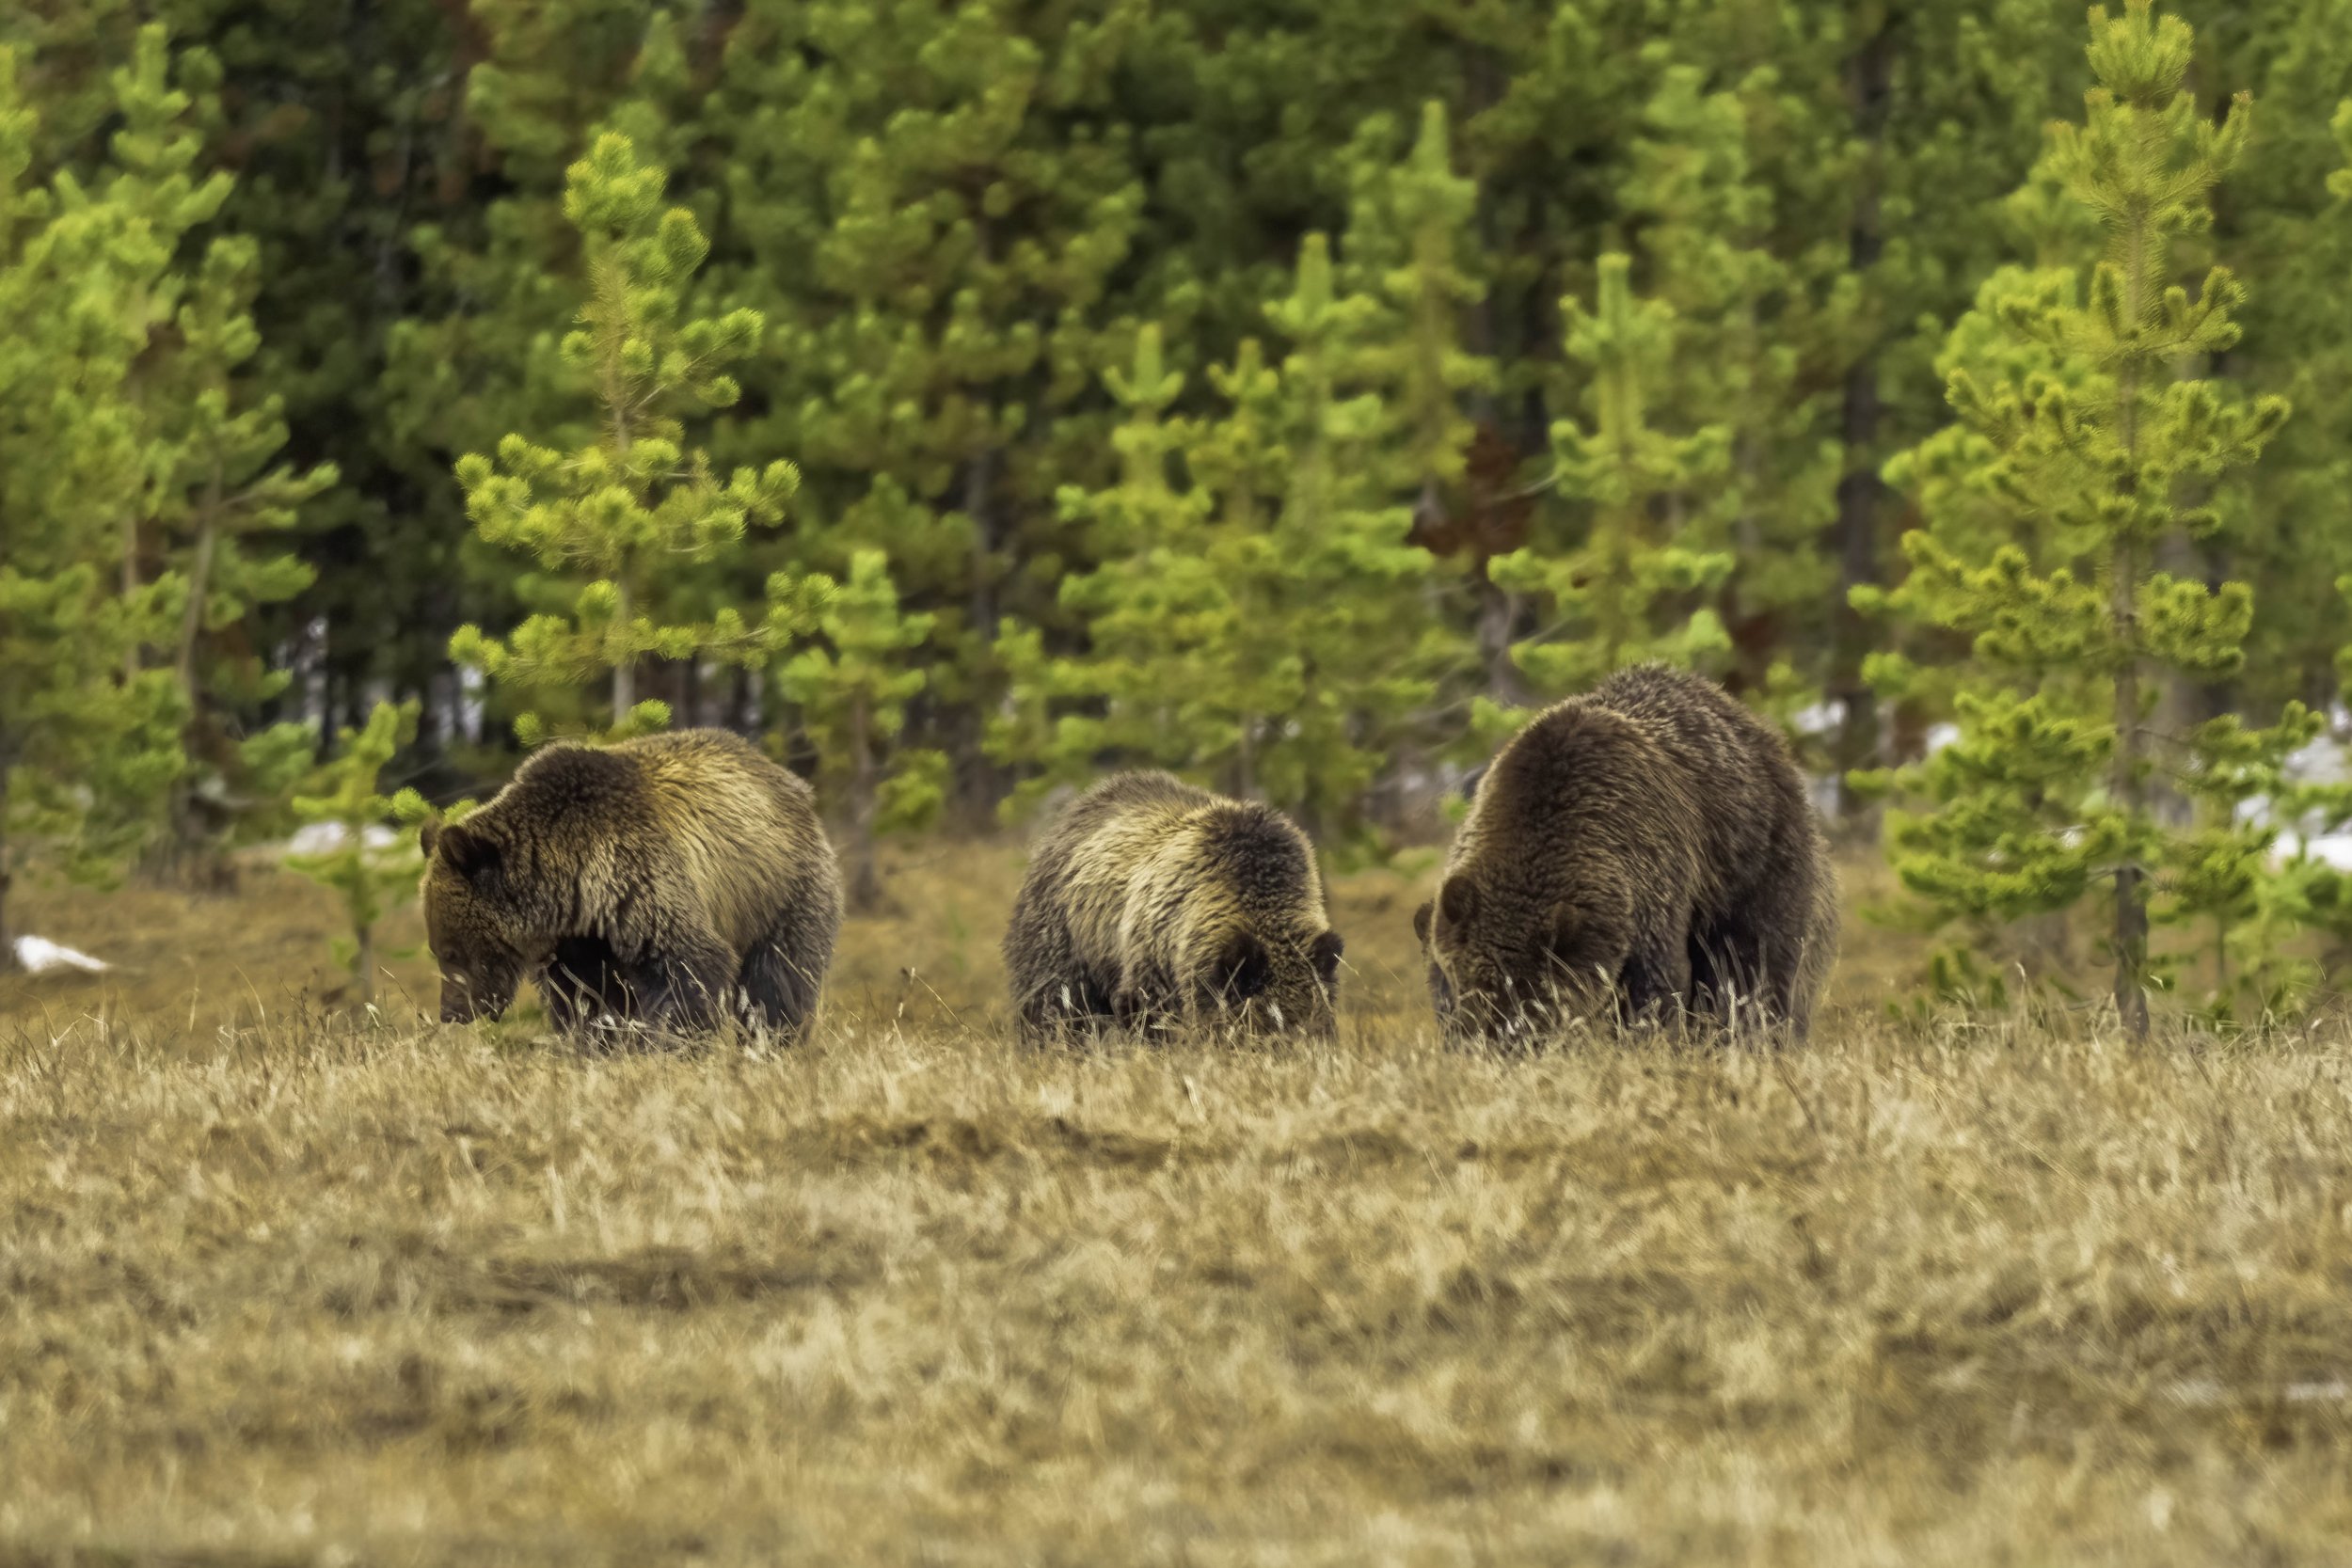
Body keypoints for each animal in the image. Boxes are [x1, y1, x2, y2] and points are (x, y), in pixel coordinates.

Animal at [418, 728, 842, 1039]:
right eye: (438, 949)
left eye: (451, 950)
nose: (451, 1011)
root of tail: (794, 784)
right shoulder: (582, 943)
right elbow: (585, 1000)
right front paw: (596, 1042)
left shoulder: (641, 884)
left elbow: (690, 970)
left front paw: (671, 1041)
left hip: (778, 891)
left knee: (777, 981)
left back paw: (773, 1039)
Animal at [1003, 770, 1345, 1041]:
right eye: (1265, 1024)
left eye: (1317, 1025)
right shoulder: (1152, 958)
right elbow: (1148, 1015)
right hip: (1065, 937)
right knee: (1057, 1003)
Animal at [1413, 664, 1836, 1043]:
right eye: (1460, 991)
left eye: (1531, 1000)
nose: (1493, 1041)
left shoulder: (1653, 884)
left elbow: (1657, 987)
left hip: (1754, 860)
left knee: (1756, 963)